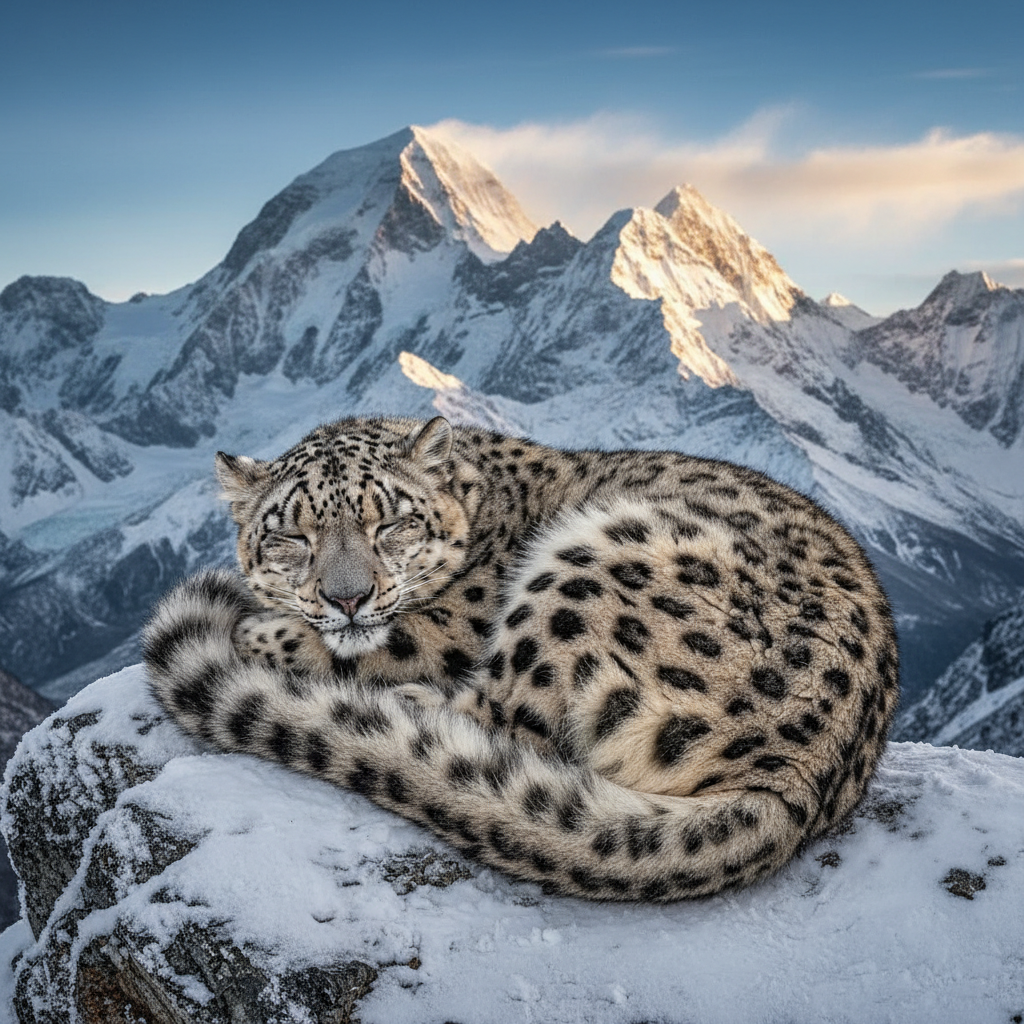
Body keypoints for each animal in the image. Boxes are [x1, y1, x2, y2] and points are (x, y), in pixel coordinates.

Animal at [143, 414, 899, 902]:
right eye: (291, 537)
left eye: (392, 523)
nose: (348, 597)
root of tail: (800, 781)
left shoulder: (447, 626)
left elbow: (368, 641)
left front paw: (260, 629)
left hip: (590, 569)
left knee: (505, 719)